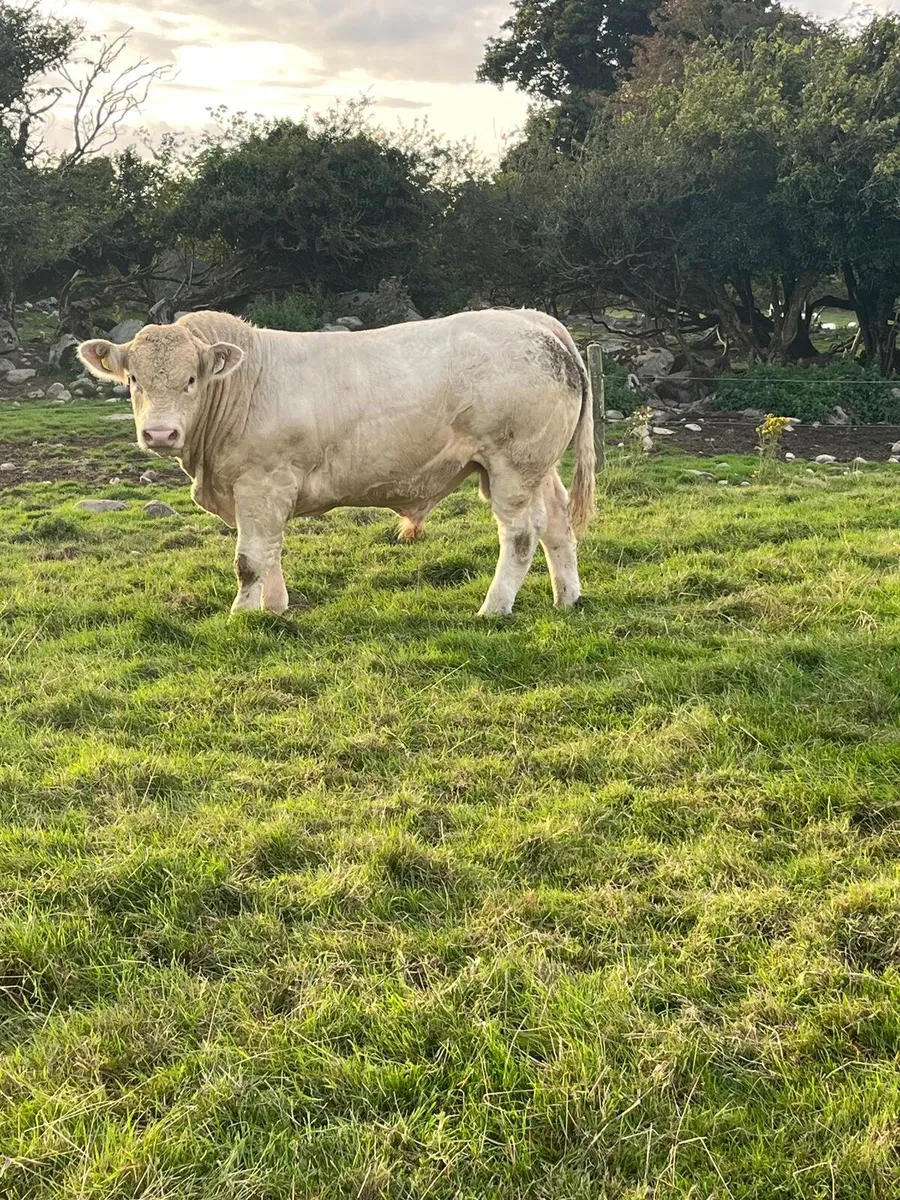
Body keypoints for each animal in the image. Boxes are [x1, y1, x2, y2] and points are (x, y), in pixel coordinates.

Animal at [78, 309, 595, 617]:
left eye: (191, 379)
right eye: (133, 379)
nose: (159, 434)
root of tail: (532, 318)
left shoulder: (263, 482)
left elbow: (250, 558)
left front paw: (241, 615)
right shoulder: (261, 491)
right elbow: (271, 552)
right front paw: (274, 609)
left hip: (513, 463)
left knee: (521, 534)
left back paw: (494, 607)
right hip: (539, 465)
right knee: (557, 525)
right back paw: (567, 598)